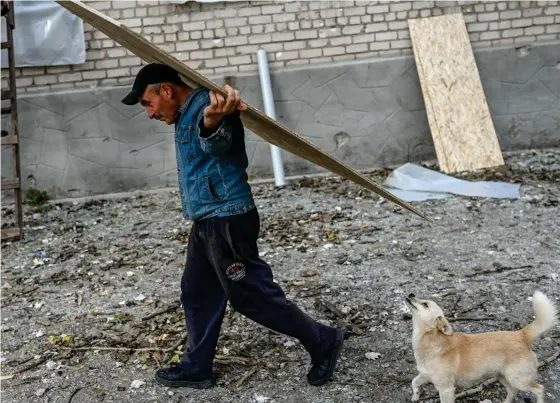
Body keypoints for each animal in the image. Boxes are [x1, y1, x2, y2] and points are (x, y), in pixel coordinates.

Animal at [404, 292, 556, 402]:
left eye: (425, 304)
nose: (411, 294)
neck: (430, 339)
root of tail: (521, 335)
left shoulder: (446, 389)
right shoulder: (424, 375)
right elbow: (414, 382)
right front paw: (415, 396)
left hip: (519, 380)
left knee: (540, 389)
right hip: (503, 377)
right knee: (512, 391)